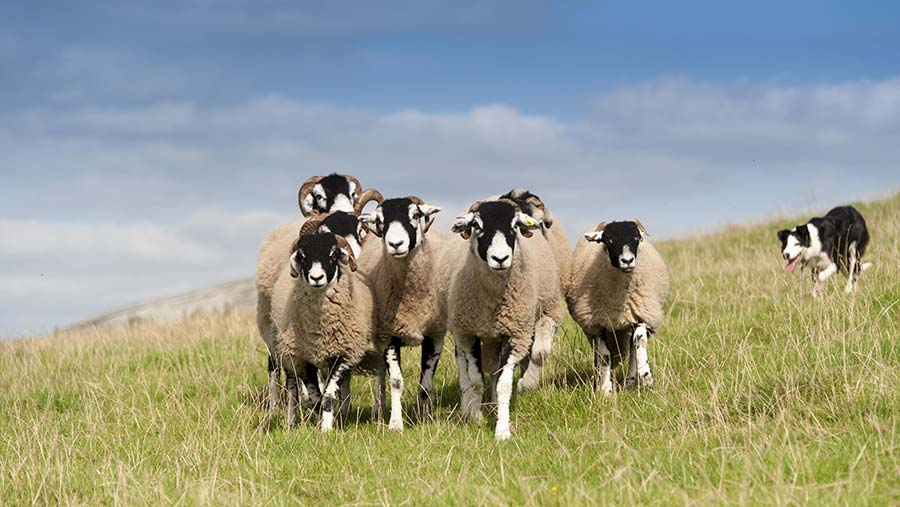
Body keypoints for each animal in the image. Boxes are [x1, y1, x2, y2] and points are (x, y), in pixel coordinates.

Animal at [270, 232, 376, 430]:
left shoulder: (342, 355)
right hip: (287, 353)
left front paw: (326, 428)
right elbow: (314, 395)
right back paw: (290, 422)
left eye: (333, 255)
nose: (317, 278)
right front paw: (319, 417)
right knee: (292, 387)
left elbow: (327, 395)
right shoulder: (304, 359)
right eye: (302, 257)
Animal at [356, 196, 444, 430]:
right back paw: (379, 408)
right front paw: (396, 424)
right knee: (380, 371)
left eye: (416, 215)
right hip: (378, 336)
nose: (396, 245)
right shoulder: (389, 336)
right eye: (379, 220)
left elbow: (426, 384)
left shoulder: (435, 335)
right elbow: (395, 381)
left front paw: (426, 418)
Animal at [438, 198, 560, 440]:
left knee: (496, 372)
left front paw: (502, 429)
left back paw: (494, 404)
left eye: (514, 226)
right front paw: (476, 416)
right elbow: (476, 380)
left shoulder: (515, 335)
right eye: (477, 225)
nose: (500, 258)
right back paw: (469, 405)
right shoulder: (469, 334)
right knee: (464, 369)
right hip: (459, 330)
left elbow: (504, 384)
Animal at [568, 220, 668, 394]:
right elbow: (604, 356)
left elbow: (639, 341)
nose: (627, 260)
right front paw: (605, 390)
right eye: (608, 240)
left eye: (636, 238)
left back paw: (631, 380)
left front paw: (646, 377)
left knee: (634, 347)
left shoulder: (641, 314)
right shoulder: (598, 324)